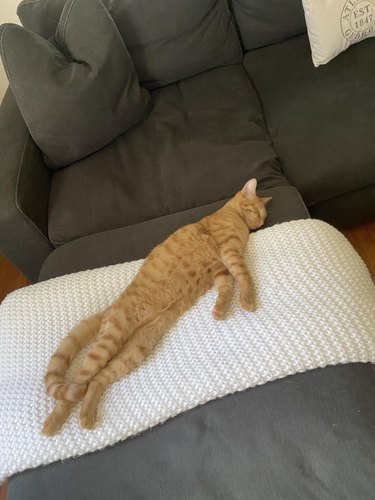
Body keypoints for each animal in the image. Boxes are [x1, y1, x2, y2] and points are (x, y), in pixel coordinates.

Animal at [42, 179, 272, 434]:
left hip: (137, 348)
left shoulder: (219, 268)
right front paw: (248, 299)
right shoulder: (228, 253)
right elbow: (244, 276)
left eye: (263, 215)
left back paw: (87, 415)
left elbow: (226, 288)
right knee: (77, 385)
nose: (261, 223)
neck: (233, 216)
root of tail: (111, 307)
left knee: (98, 379)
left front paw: (220, 310)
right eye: (257, 211)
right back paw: (53, 422)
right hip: (111, 339)